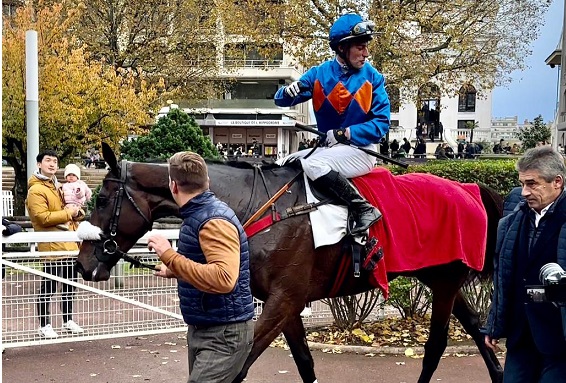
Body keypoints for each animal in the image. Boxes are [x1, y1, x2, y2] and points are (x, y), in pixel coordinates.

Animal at [75, 145, 506, 383]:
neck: (258, 207)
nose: (82, 264)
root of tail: (470, 188)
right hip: (441, 281)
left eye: (100, 199)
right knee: (476, 329)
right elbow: (303, 362)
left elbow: (240, 366)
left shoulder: (284, 299)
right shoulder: (284, 302)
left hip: (445, 283)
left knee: (435, 347)